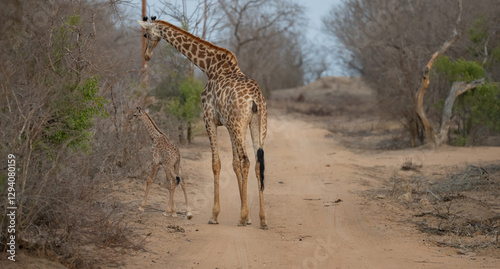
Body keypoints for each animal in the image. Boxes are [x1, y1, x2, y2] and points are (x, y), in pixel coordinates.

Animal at [137, 16, 268, 227]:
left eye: (146, 35)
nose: (147, 56)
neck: (209, 66)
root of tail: (255, 98)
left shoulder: (209, 119)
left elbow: (217, 164)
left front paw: (216, 215)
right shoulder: (228, 125)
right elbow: (233, 164)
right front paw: (247, 216)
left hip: (240, 124)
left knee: (247, 160)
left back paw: (243, 217)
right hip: (257, 124)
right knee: (256, 162)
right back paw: (262, 219)